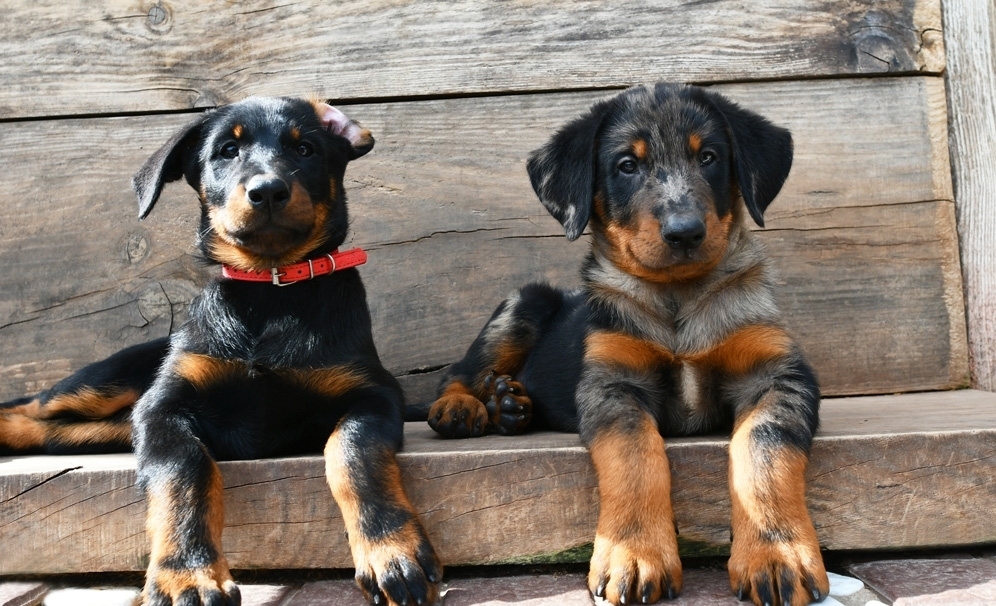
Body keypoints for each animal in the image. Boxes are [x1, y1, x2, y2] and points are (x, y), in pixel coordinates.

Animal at [0, 97, 440, 604]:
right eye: (227, 150)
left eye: (305, 149)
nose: (267, 191)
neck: (270, 291)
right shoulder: (162, 406)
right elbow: (184, 469)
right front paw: (187, 574)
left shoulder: (374, 393)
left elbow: (355, 451)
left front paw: (391, 552)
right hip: (104, 384)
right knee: (31, 409)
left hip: (111, 424)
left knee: (50, 431)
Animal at [428, 84, 824, 606]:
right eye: (626, 166)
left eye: (709, 157)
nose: (684, 231)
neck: (677, 301)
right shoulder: (613, 380)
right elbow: (634, 455)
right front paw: (634, 555)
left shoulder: (776, 374)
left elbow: (765, 449)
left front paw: (776, 554)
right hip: (523, 305)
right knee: (457, 370)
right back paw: (466, 406)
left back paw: (510, 406)